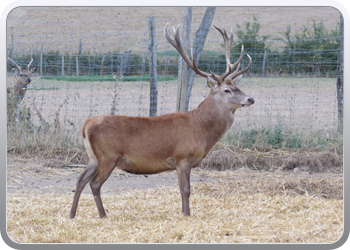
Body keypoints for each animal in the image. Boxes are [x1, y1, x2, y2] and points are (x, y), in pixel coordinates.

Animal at [69, 23, 254, 219]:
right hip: (108, 155)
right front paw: (186, 214)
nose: (251, 99)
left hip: (93, 157)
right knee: (94, 183)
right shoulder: (182, 157)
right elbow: (185, 189)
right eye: (227, 90)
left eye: (237, 87)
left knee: (80, 180)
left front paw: (184, 213)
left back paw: (72, 214)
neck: (201, 130)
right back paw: (103, 215)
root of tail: (86, 124)